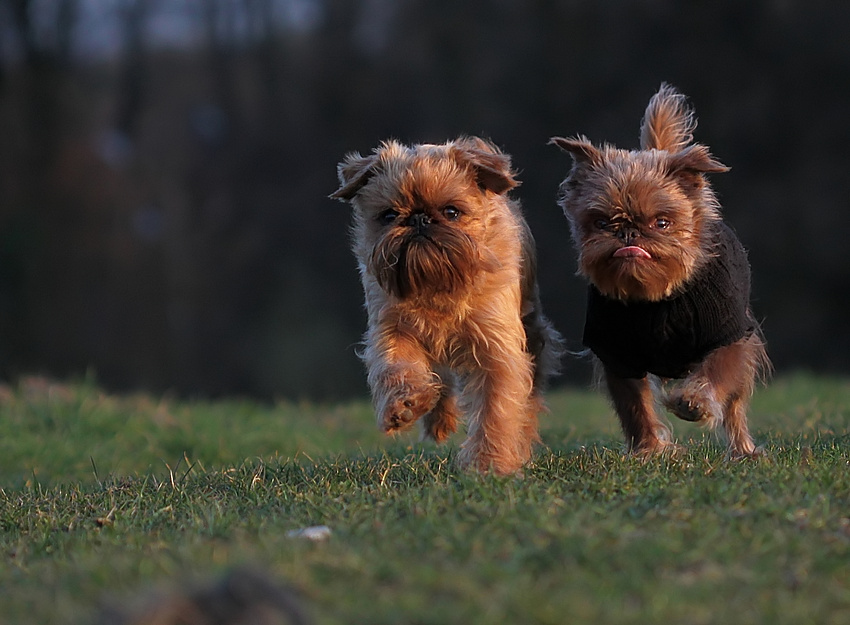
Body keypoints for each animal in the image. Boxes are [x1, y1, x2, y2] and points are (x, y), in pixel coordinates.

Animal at [332, 136, 564, 472]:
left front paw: (489, 464)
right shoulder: (392, 328)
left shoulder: (496, 349)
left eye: (452, 212)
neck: (437, 286)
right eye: (388, 215)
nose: (419, 218)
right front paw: (403, 404)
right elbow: (396, 366)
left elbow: (496, 409)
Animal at [548, 84, 768, 458]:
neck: (655, 298)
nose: (629, 233)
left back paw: (743, 450)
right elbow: (635, 405)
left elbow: (718, 371)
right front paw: (649, 449)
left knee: (735, 407)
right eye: (602, 223)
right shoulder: (618, 354)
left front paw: (693, 401)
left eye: (661, 223)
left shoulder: (730, 336)